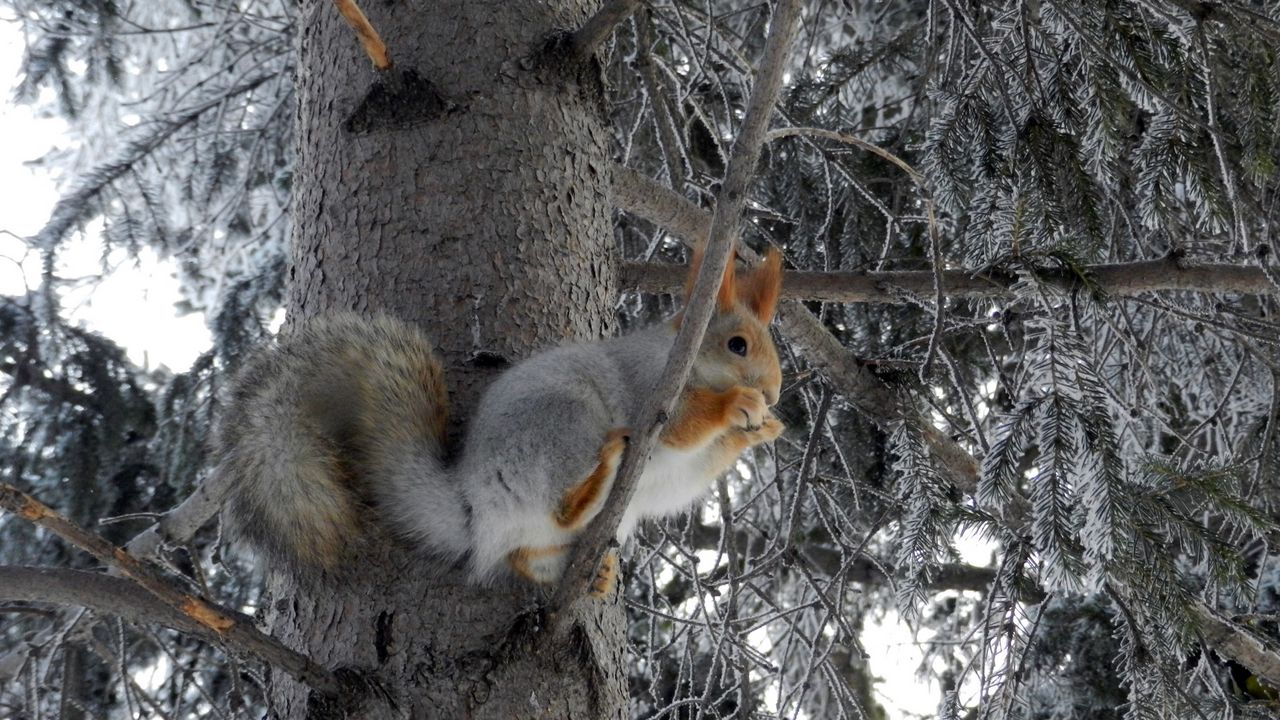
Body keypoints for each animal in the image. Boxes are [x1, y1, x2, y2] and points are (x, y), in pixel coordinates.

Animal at [215, 245, 783, 594]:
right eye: (737, 345)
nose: (775, 391)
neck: (685, 358)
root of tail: (476, 508)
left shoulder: (688, 468)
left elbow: (694, 471)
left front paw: (765, 428)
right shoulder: (651, 387)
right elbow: (683, 423)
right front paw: (737, 406)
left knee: (524, 555)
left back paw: (588, 574)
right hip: (562, 427)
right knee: (561, 509)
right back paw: (597, 480)